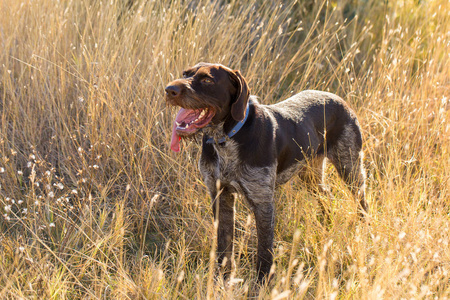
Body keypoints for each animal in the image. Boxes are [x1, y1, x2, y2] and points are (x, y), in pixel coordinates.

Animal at [163, 62, 368, 282]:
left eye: (207, 79)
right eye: (185, 74)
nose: (169, 90)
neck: (226, 138)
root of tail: (338, 98)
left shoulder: (262, 202)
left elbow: (264, 249)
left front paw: (263, 281)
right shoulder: (220, 195)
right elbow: (224, 245)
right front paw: (223, 278)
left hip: (349, 166)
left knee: (361, 199)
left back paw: (363, 227)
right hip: (310, 175)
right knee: (326, 196)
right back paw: (326, 224)